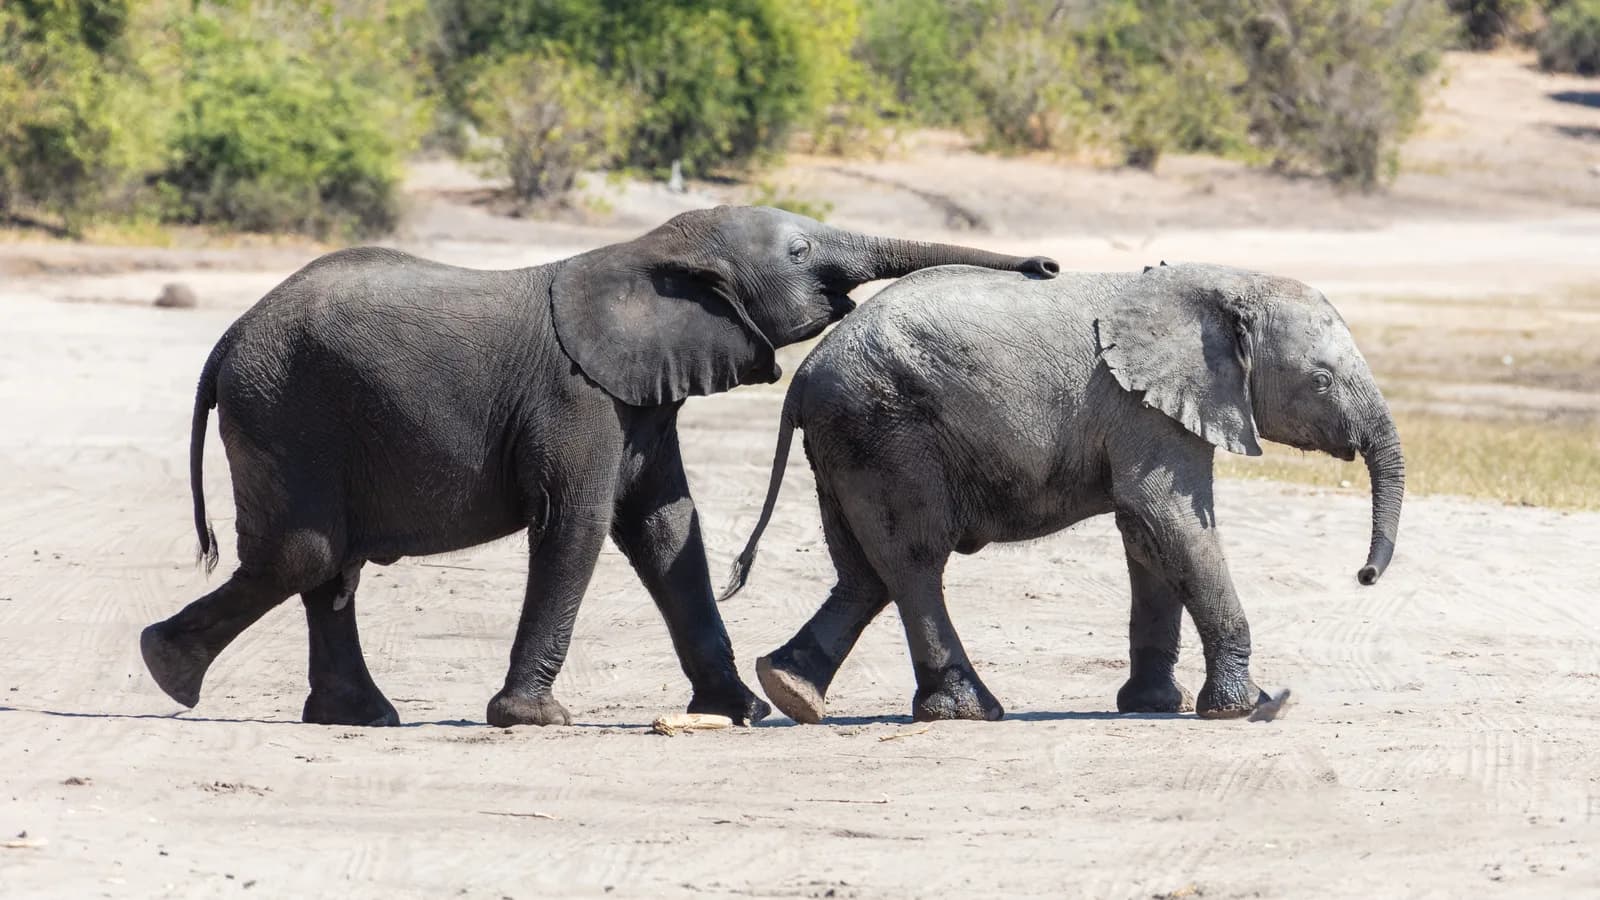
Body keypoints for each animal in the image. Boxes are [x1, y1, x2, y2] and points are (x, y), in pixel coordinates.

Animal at [138, 205, 1060, 728]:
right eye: (799, 251)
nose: (1048, 266)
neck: (647, 252)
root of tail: (226, 339)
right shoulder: (577, 395)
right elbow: (576, 525)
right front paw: (533, 719)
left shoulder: (640, 398)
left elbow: (668, 532)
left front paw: (742, 712)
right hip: (285, 411)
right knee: (308, 554)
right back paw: (167, 671)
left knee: (329, 567)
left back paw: (357, 718)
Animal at [720, 262, 1404, 723]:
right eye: (1322, 381)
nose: (1365, 575)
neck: (1218, 282)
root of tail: (803, 372)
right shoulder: (1143, 409)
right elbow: (1171, 520)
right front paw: (1248, 707)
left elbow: (1148, 537)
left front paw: (1152, 706)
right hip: (883, 431)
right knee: (913, 562)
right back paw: (969, 711)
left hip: (847, 443)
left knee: (866, 572)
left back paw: (790, 692)